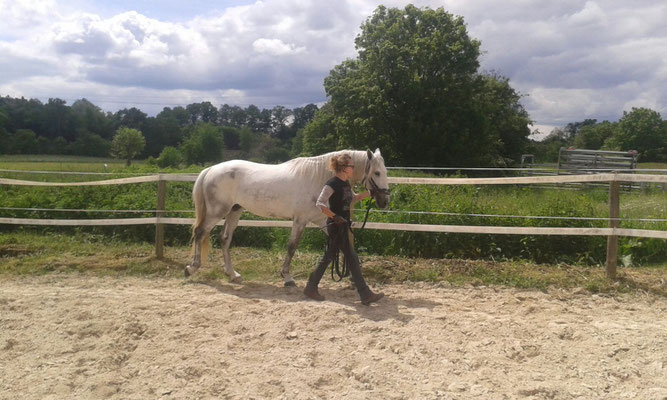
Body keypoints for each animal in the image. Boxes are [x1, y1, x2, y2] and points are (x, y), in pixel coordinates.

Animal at [184, 148, 392, 286]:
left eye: (385, 171)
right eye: (377, 172)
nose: (384, 201)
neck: (320, 179)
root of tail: (210, 170)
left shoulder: (323, 220)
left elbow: (345, 243)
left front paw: (353, 277)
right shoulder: (300, 220)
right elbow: (292, 247)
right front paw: (287, 277)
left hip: (235, 210)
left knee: (225, 238)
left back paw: (232, 274)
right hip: (216, 212)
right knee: (200, 233)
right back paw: (192, 268)